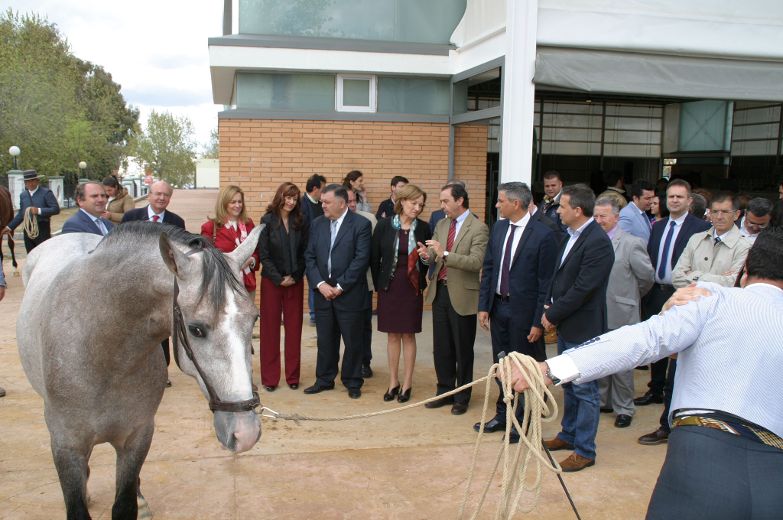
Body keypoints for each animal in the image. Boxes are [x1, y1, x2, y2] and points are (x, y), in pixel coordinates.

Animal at [17, 221, 264, 516]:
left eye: (255, 319)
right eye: (196, 329)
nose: (245, 433)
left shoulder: (137, 438)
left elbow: (124, 503)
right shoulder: (66, 446)